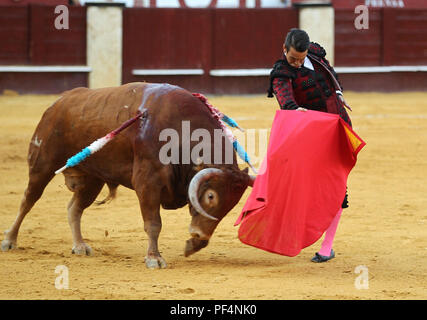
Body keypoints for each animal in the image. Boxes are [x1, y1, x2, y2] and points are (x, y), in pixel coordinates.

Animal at [0, 82, 254, 268]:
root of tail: (58, 102)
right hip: (42, 164)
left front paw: (192, 245)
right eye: (211, 196)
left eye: (232, 204)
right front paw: (154, 258)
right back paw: (9, 240)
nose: (201, 235)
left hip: (93, 180)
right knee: (28, 200)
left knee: (74, 208)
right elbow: (153, 223)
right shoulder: (147, 183)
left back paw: (80, 246)